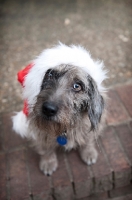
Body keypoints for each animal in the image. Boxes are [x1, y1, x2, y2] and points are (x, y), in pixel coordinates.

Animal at [12, 43, 107, 175]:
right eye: (49, 75)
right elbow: (45, 147)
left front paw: (88, 152)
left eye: (77, 86)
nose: (48, 109)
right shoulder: (39, 132)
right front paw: (48, 162)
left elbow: (88, 139)